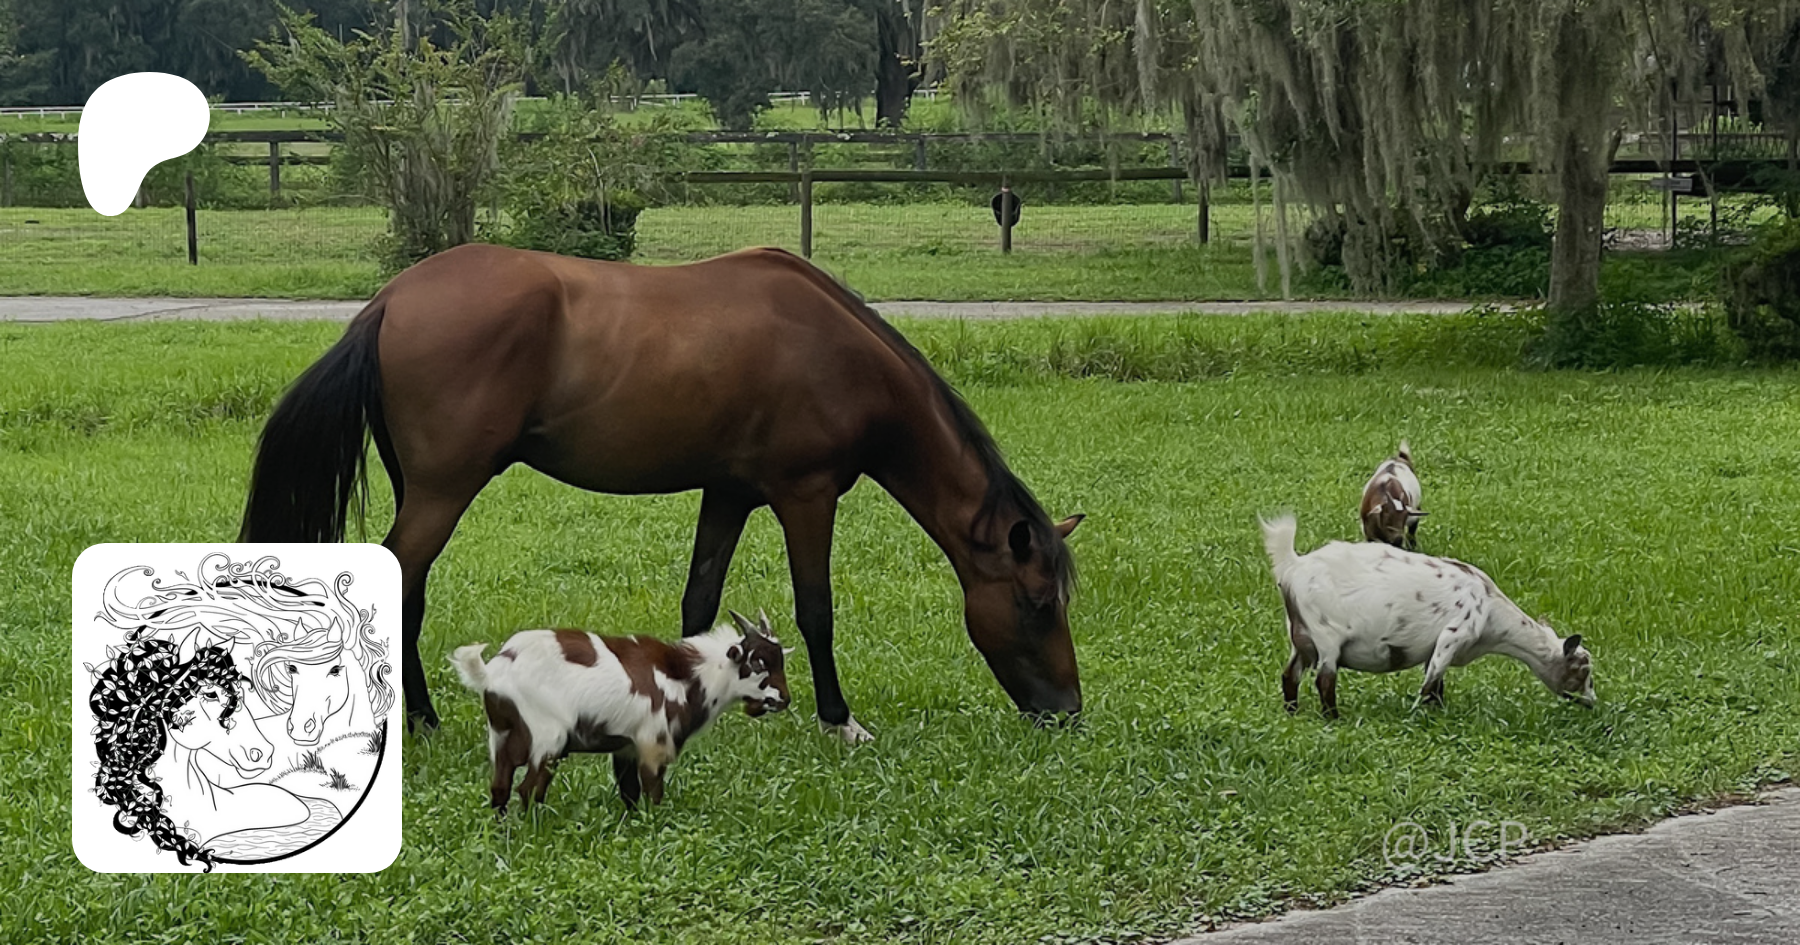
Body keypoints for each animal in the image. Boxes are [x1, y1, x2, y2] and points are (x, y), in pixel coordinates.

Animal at [239, 244, 1084, 742]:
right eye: (1038, 602)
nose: (1068, 711)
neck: (836, 352)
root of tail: (391, 299)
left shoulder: (729, 492)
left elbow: (699, 598)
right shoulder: (806, 495)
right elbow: (816, 610)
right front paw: (840, 720)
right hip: (444, 490)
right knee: (403, 581)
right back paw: (419, 719)